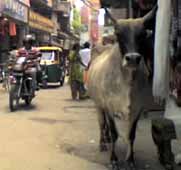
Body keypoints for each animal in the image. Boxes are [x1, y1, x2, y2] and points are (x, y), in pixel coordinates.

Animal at [87, 6, 157, 170]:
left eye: (142, 34)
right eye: (118, 34)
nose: (132, 59)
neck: (127, 82)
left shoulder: (137, 108)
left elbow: (131, 135)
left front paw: (130, 160)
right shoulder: (109, 107)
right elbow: (114, 133)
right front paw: (113, 160)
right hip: (98, 104)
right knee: (102, 123)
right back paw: (102, 142)